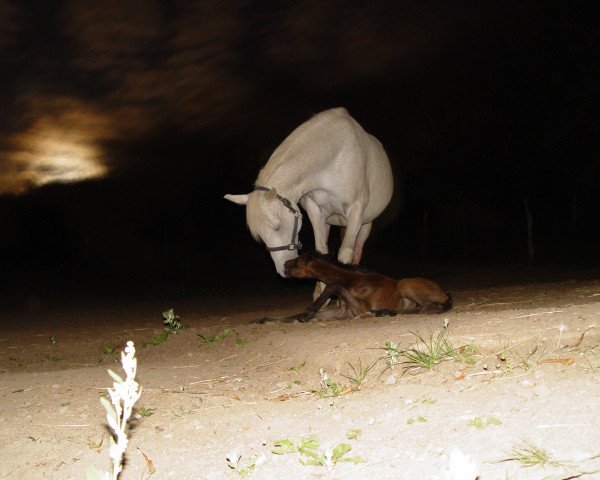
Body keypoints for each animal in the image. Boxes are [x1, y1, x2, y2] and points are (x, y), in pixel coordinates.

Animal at [225, 106, 394, 276]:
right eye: (259, 235)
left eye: (277, 226)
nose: (284, 270)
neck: (333, 160)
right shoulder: (315, 209)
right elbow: (322, 253)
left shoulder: (356, 212)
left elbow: (345, 255)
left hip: (365, 225)